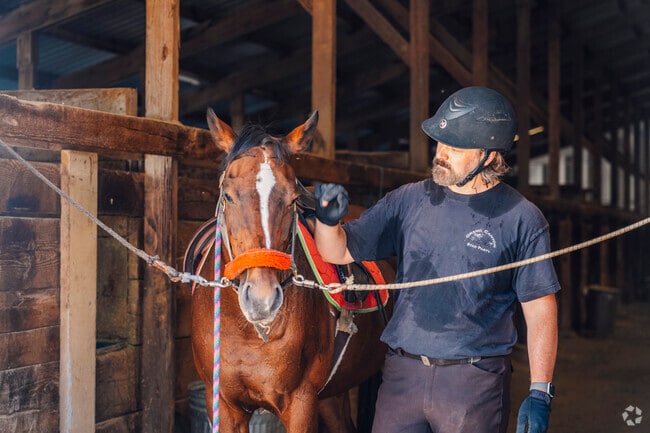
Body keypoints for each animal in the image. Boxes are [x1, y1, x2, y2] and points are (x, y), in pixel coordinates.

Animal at [185, 109, 393, 432]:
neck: (251, 331)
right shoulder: (223, 405)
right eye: (228, 195)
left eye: (293, 199)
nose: (262, 300)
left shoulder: (301, 403)